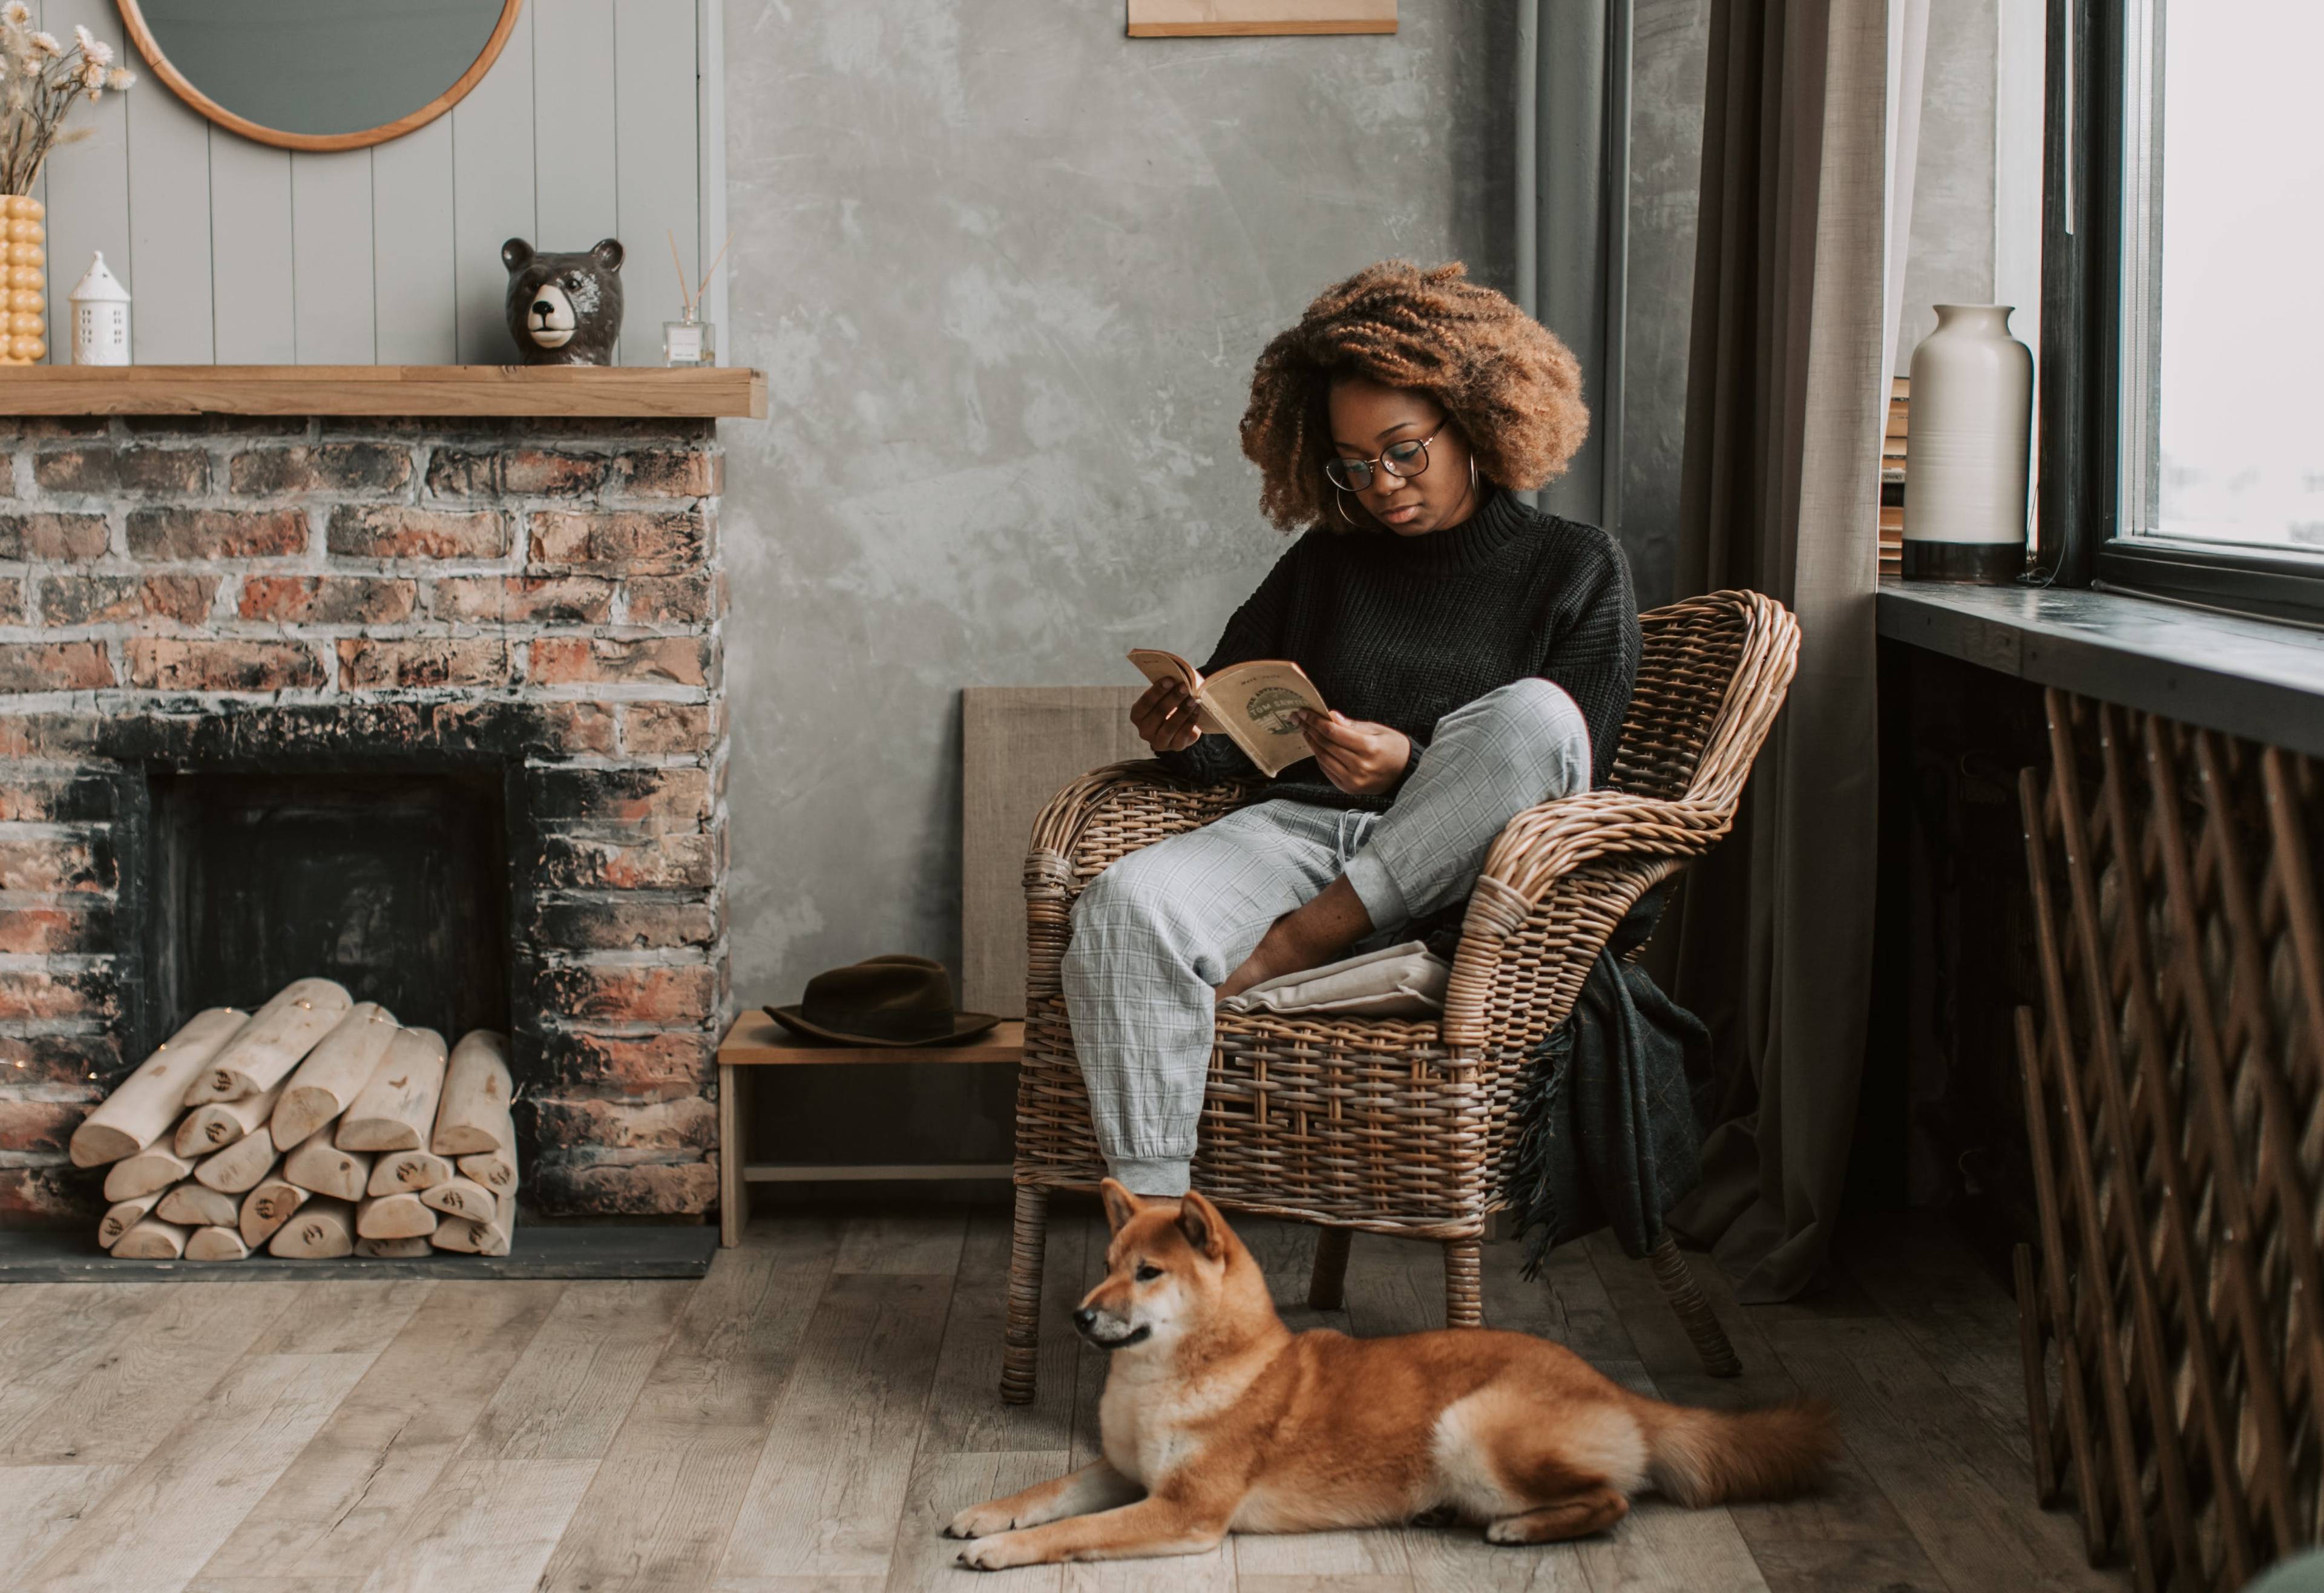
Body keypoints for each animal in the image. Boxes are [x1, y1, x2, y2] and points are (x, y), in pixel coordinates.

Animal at [944, 1181, 1831, 1563]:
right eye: (1106, 1266)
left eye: (1149, 1274)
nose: (1079, 1316)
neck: (1167, 1380)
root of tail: (1623, 1391)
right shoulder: (1125, 1471)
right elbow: (1047, 1491)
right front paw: (986, 1515)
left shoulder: (1183, 1511)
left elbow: (1074, 1530)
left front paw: (1006, 1552)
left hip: (1471, 1426)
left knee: (1613, 1499)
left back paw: (1521, 1528)